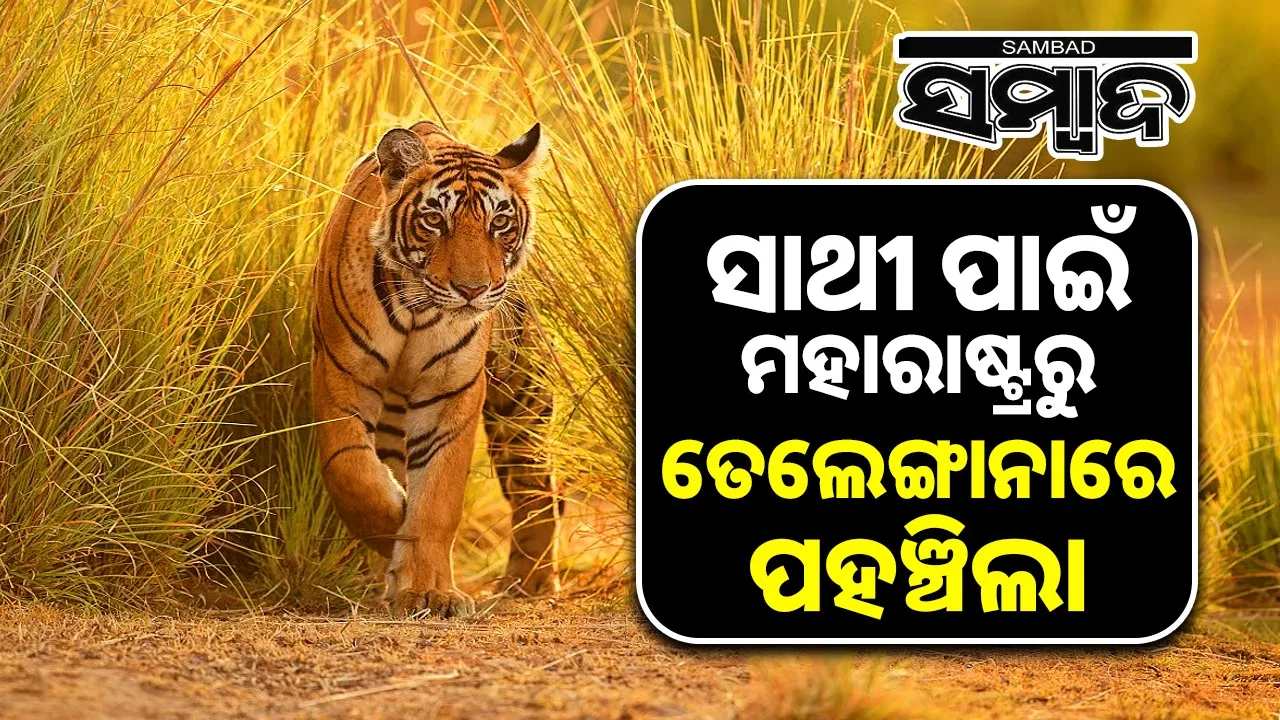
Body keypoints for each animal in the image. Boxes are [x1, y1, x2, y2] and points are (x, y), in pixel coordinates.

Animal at [310, 120, 560, 618]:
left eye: (499, 223)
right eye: (434, 221)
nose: (472, 289)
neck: (417, 309)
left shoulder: (451, 390)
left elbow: (438, 497)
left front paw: (429, 592)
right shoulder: (342, 372)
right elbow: (352, 471)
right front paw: (393, 524)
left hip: (522, 398)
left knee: (538, 487)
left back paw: (530, 581)